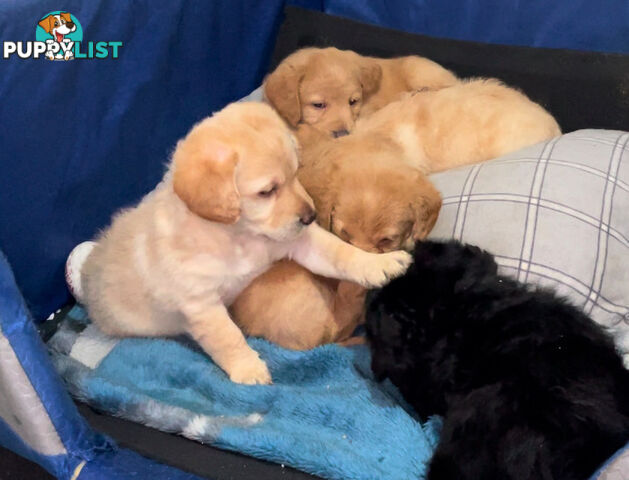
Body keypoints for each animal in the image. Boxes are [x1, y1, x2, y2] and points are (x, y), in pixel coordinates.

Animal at [79, 102, 412, 386]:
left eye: (296, 173)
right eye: (267, 191)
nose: (311, 216)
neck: (239, 236)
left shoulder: (298, 242)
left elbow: (339, 253)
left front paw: (379, 264)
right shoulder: (201, 303)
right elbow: (229, 338)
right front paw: (248, 368)